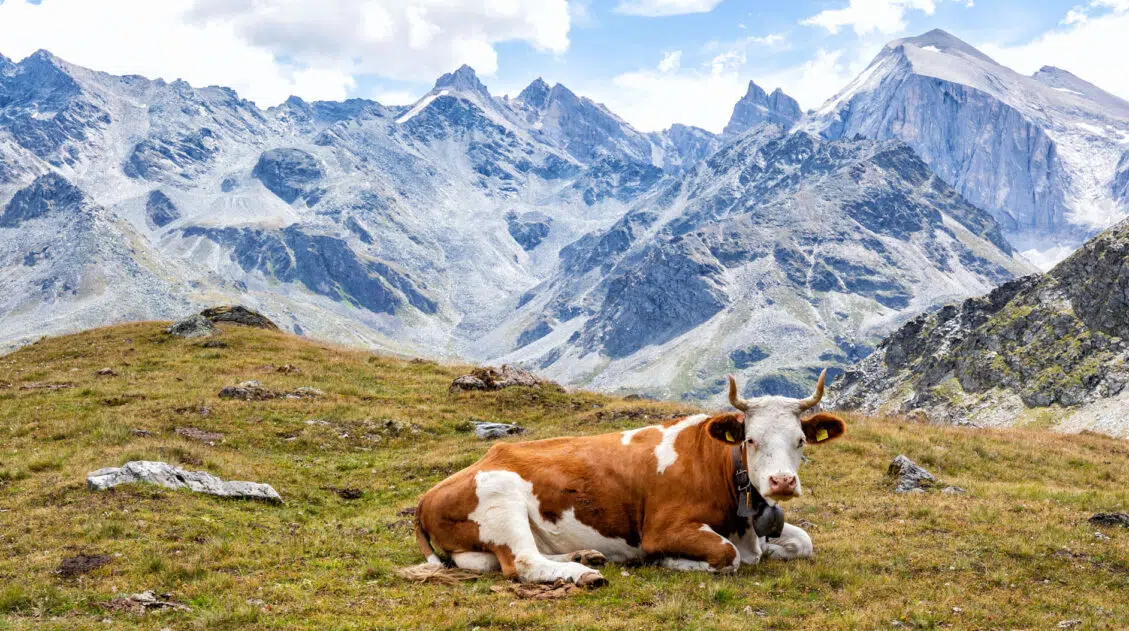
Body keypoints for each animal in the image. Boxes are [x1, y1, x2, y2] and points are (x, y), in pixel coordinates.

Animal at [408, 370, 845, 586]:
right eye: (750, 440)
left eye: (800, 440)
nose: (782, 482)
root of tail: (428, 496)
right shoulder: (663, 528)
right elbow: (727, 556)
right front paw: (669, 561)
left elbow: (803, 542)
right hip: (501, 496)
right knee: (522, 563)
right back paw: (584, 573)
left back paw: (584, 556)